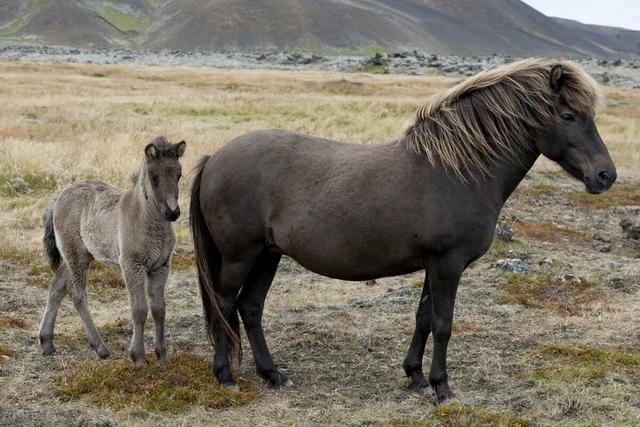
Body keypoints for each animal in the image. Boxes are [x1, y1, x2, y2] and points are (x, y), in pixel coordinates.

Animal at [189, 59, 616, 402]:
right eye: (568, 116)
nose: (605, 176)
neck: (457, 171)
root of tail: (216, 158)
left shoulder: (434, 264)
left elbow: (424, 317)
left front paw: (415, 376)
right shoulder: (448, 264)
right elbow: (443, 324)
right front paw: (442, 387)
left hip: (268, 254)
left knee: (250, 307)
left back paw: (273, 374)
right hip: (240, 256)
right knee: (224, 303)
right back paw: (226, 376)